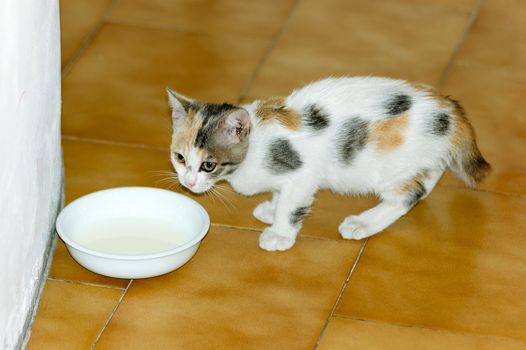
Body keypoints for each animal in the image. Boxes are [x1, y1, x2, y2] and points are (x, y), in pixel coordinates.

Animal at [167, 77, 492, 252]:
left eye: (209, 165)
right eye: (180, 158)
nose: (187, 182)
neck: (256, 144)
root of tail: (450, 107)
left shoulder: (302, 173)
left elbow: (292, 204)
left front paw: (280, 232)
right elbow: (280, 194)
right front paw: (271, 207)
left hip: (391, 168)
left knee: (408, 195)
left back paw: (363, 223)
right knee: (429, 177)